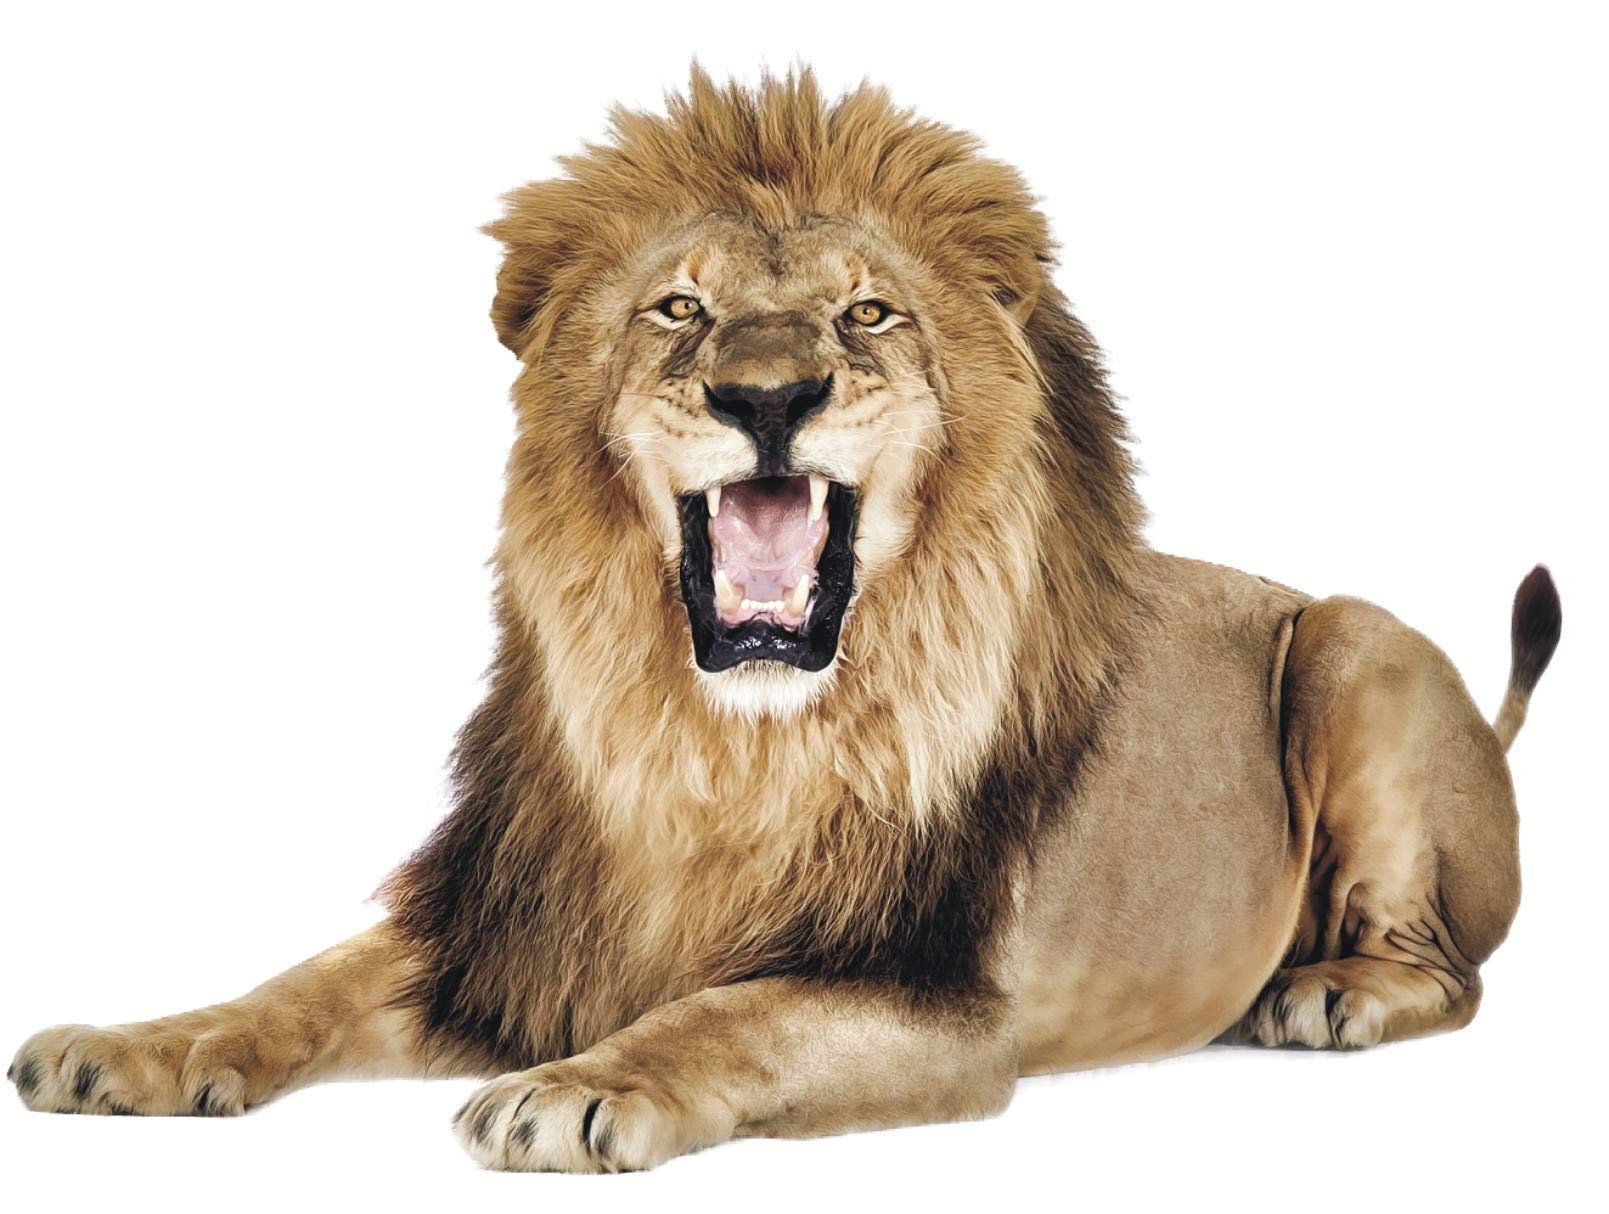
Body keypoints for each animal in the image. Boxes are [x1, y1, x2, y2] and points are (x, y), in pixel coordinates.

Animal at [9, 69, 1562, 1172]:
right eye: (678, 309)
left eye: (866, 314)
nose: (766, 395)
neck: (717, 744)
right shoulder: (510, 925)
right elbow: (297, 981)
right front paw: (124, 1047)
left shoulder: (936, 999)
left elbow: (731, 1009)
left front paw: (579, 1085)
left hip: (1355, 643)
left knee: (1455, 969)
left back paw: (1326, 993)